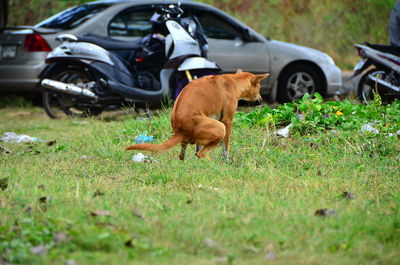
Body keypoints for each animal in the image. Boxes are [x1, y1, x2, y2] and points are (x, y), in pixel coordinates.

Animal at [125, 69, 268, 159]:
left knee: (185, 155)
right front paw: (227, 159)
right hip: (220, 127)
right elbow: (225, 147)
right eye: (260, 88)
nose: (261, 101)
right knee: (201, 154)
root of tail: (180, 131)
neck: (234, 80)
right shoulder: (227, 121)